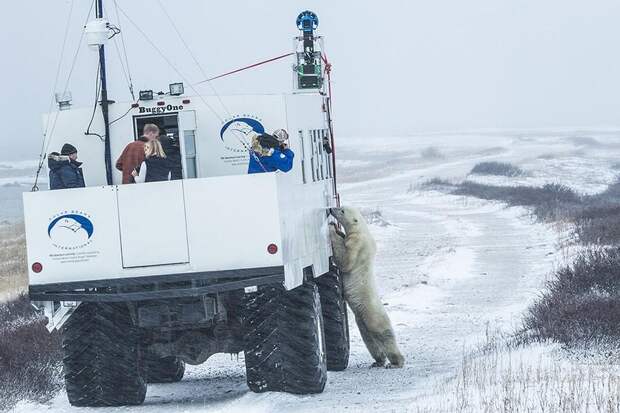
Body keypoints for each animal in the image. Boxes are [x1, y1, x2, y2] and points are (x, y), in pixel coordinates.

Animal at [326, 206, 404, 366]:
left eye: (342, 210)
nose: (331, 209)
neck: (362, 230)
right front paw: (339, 231)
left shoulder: (357, 243)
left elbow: (346, 260)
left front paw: (332, 229)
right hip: (362, 318)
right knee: (368, 337)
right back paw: (379, 361)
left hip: (373, 314)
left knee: (383, 334)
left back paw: (396, 361)